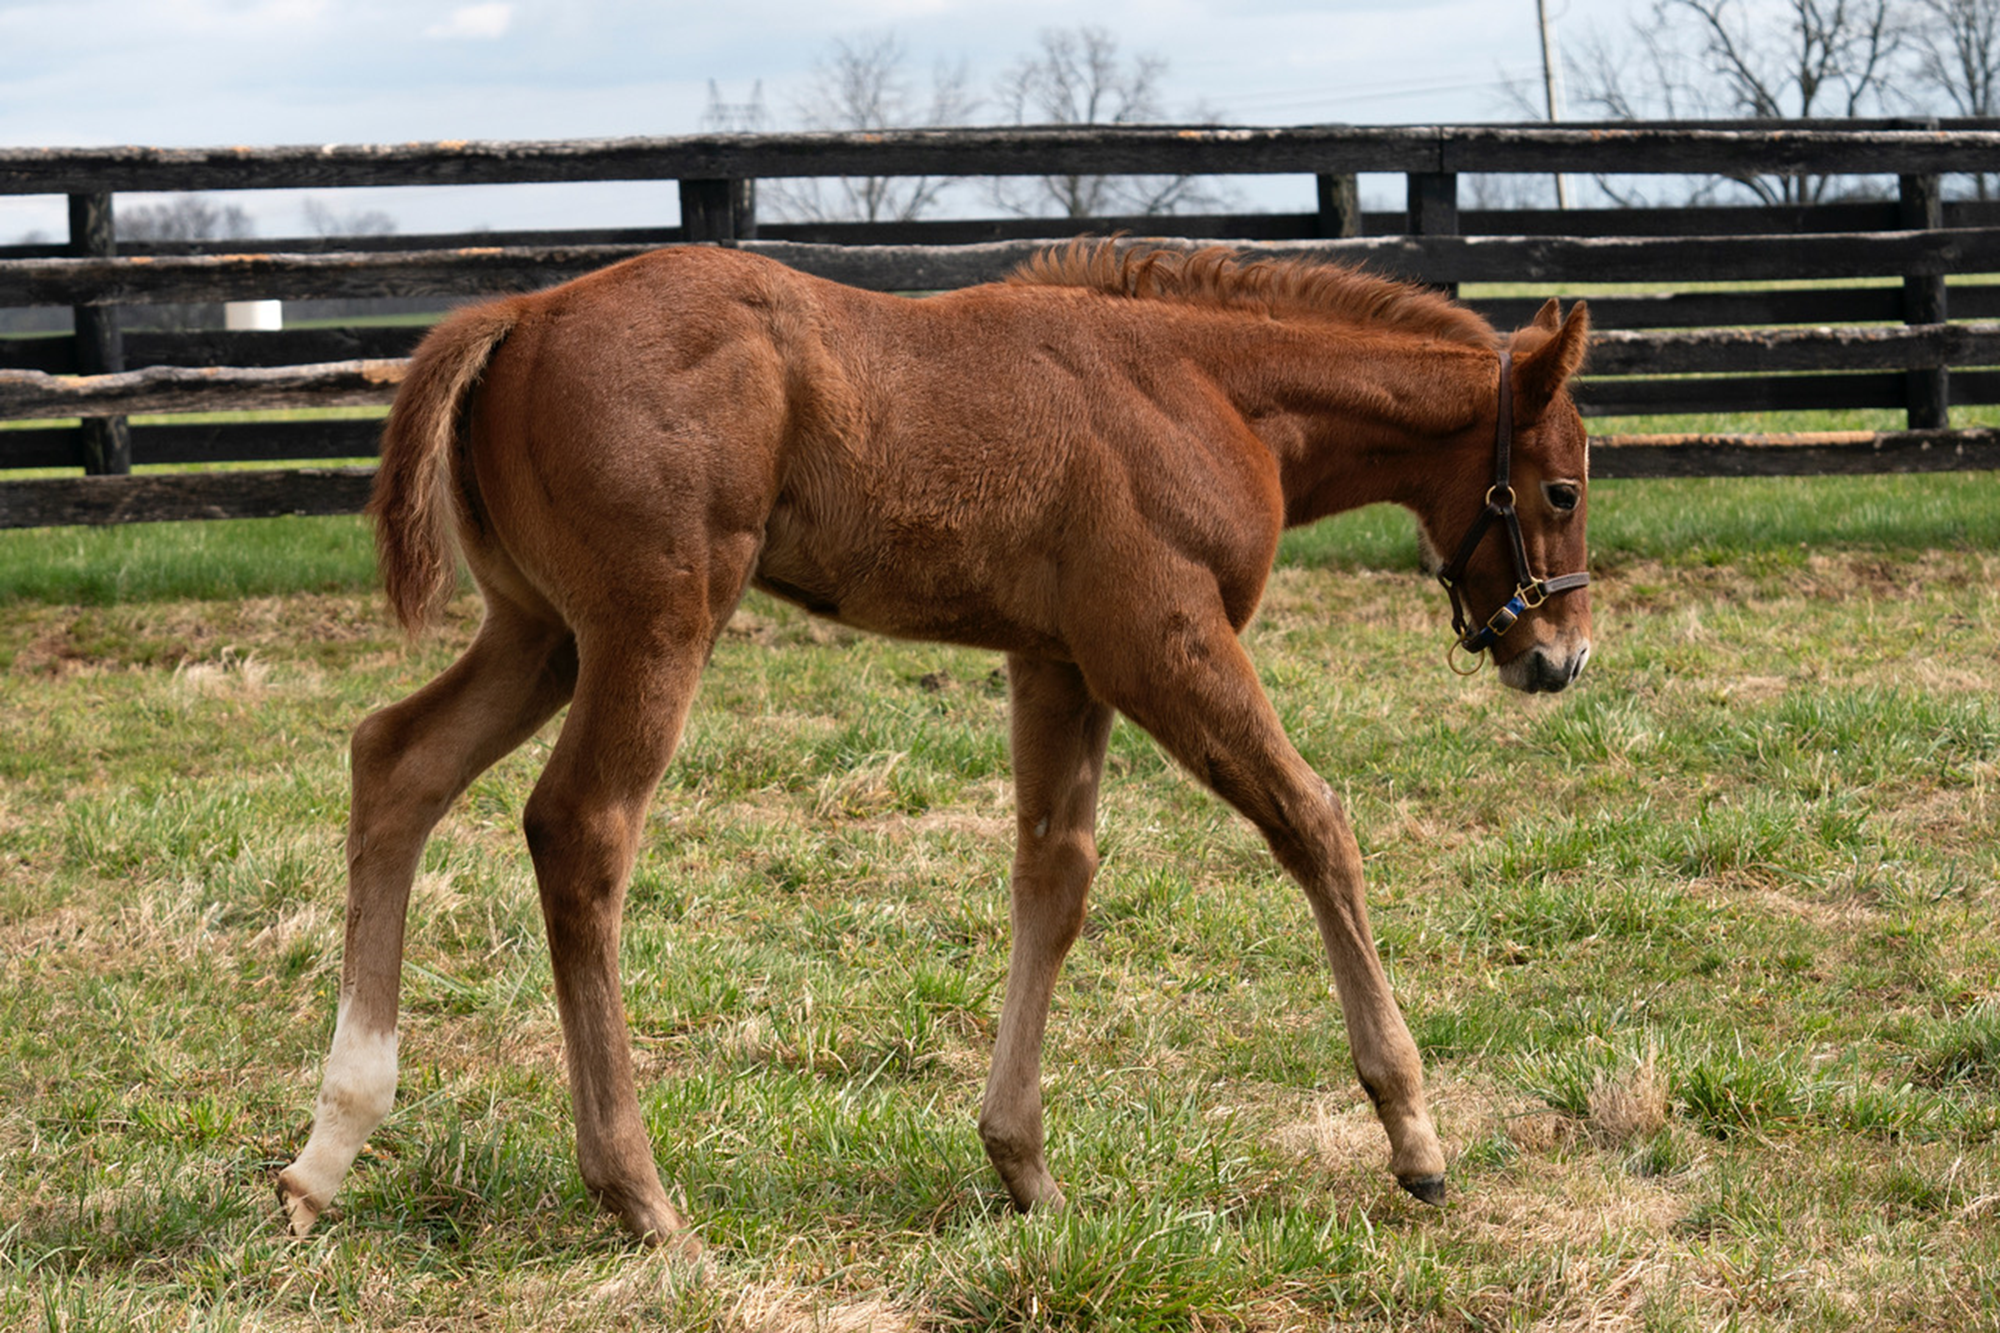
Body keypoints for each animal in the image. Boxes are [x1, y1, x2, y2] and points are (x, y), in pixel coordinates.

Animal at [282, 241, 1592, 1248]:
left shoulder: (1058, 662)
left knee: (395, 760)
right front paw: (1413, 1135)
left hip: (540, 629)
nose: (1559, 656)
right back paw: (640, 1196)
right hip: (651, 622)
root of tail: (521, 313)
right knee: (579, 829)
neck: (1206, 389)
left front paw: (1023, 1166)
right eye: (1563, 489)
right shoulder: (1159, 643)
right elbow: (1312, 820)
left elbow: (1053, 876)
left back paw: (330, 1144)